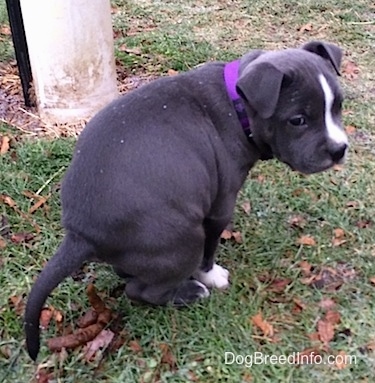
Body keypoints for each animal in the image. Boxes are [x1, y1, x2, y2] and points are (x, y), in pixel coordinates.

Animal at [25, 40, 350, 362]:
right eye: (298, 120)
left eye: (338, 106)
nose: (339, 149)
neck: (238, 105)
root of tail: (80, 234)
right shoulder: (219, 209)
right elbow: (210, 250)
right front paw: (211, 276)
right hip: (183, 240)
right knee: (140, 290)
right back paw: (190, 292)